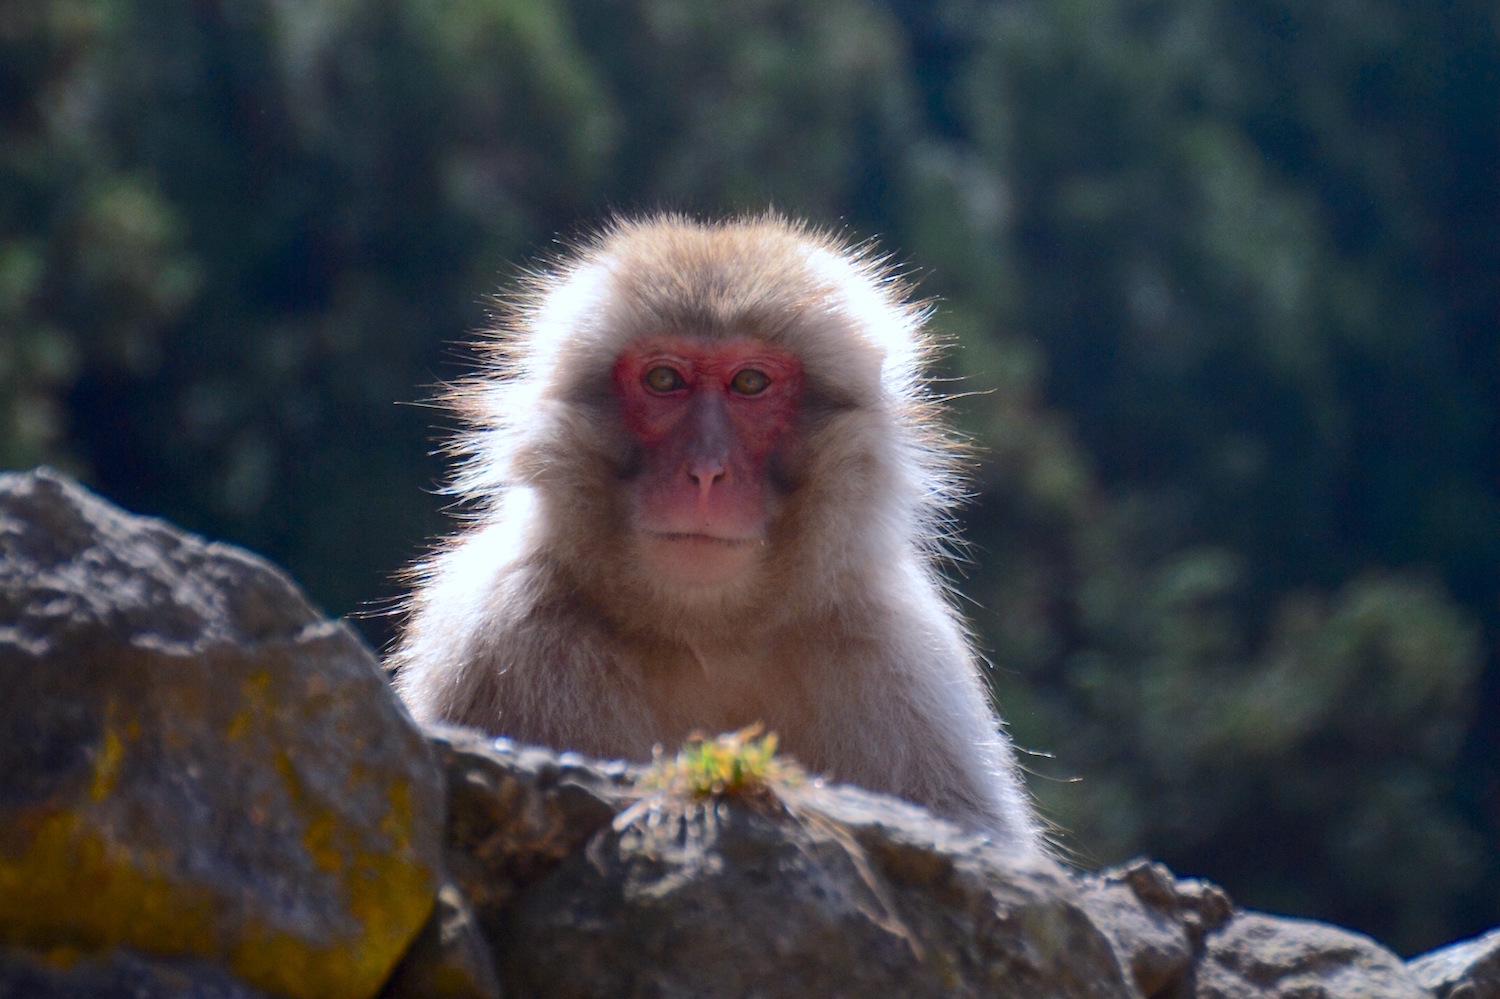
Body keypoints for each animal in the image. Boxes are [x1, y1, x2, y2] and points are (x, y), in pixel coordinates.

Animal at [390, 211, 1044, 846]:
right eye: (664, 380)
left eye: (749, 383)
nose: (705, 472)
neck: (708, 634)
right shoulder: (497, 631)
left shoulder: (901, 655)